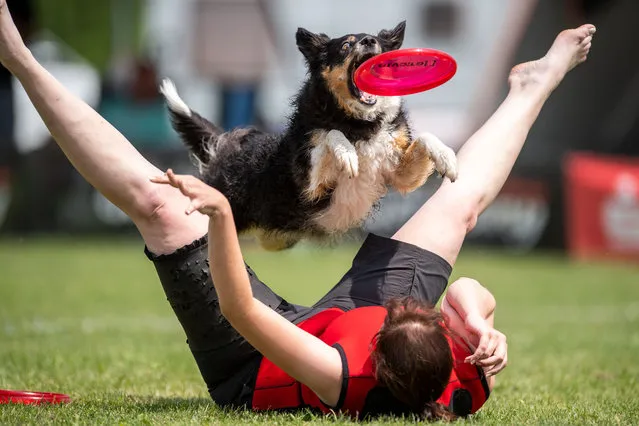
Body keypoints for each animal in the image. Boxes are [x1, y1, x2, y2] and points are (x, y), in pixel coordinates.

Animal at [162, 21, 458, 250]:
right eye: (346, 45)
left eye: (379, 45)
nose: (369, 41)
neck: (357, 122)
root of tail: (226, 145)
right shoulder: (311, 187)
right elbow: (329, 135)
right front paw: (347, 154)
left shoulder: (398, 175)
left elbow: (426, 138)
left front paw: (447, 158)